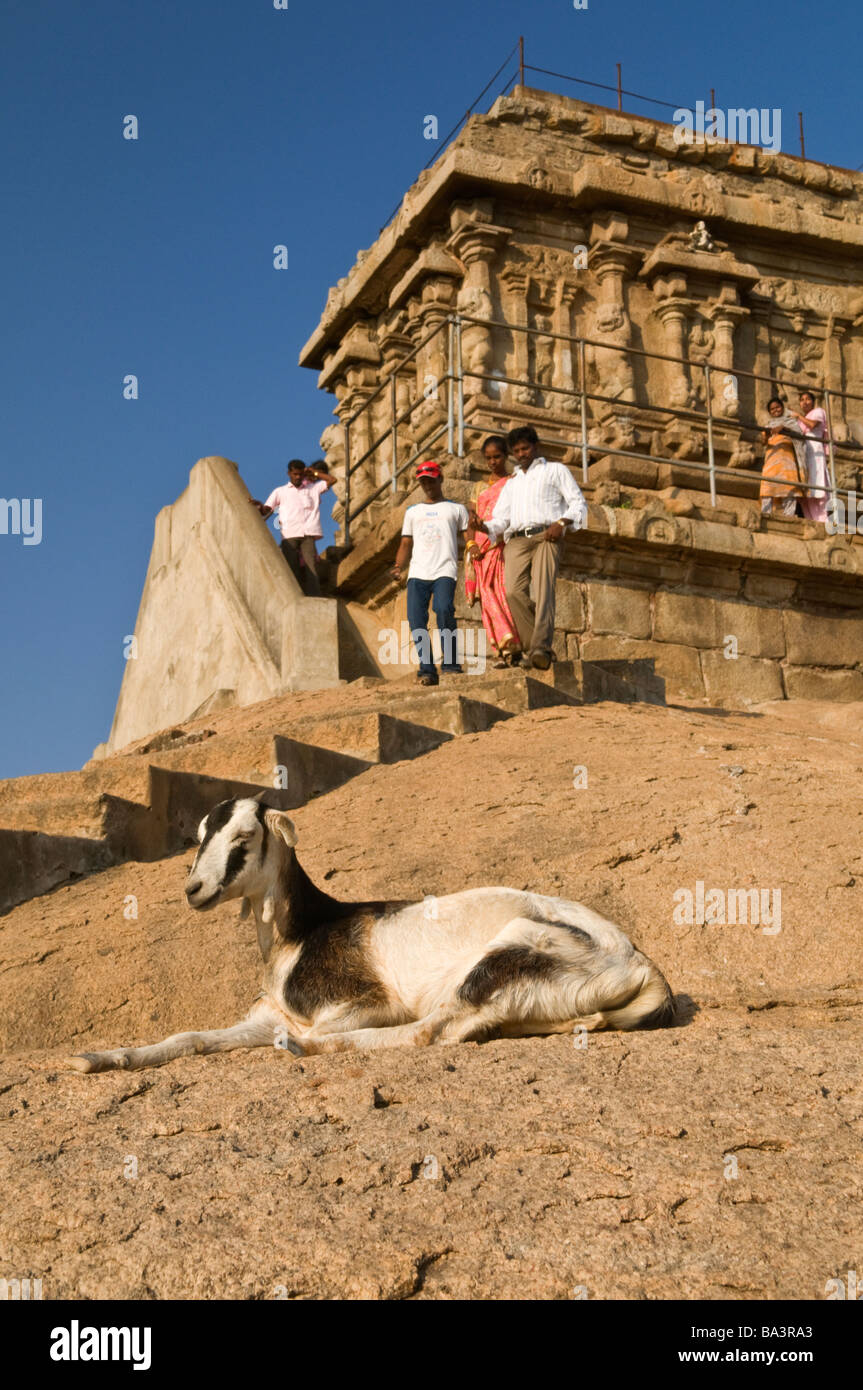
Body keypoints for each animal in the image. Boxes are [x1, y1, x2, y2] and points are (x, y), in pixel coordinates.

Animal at [70, 795, 672, 1073]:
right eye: (201, 835)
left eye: (243, 837)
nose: (194, 889)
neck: (303, 931)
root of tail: (641, 964)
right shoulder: (265, 1014)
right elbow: (189, 1038)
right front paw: (95, 1058)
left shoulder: (368, 1004)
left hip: (512, 951)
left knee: (429, 1031)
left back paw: (304, 1048)